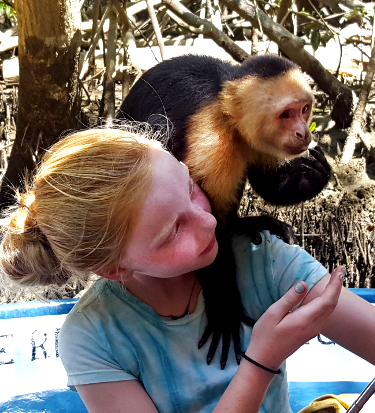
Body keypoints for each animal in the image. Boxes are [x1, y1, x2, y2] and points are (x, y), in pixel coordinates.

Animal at [115, 54, 332, 366]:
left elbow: (267, 184)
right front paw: (226, 312)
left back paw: (246, 224)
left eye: (304, 110)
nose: (303, 133)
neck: (229, 115)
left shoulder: (256, 137)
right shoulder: (209, 135)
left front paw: (313, 175)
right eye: (286, 114)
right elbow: (207, 230)